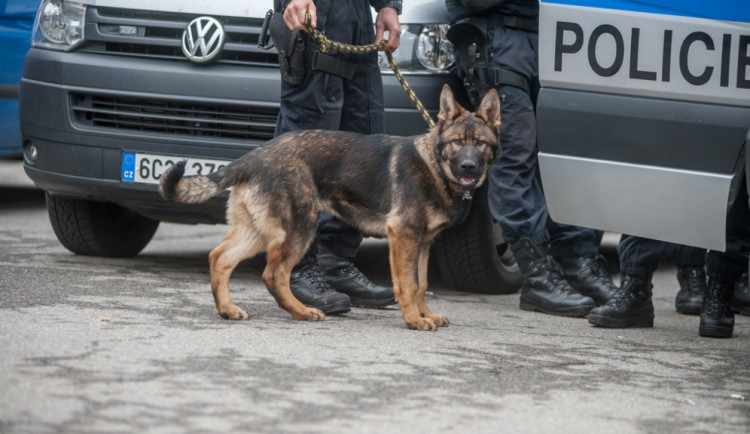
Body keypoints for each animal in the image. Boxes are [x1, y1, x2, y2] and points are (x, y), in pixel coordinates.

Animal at [160, 84, 500, 328]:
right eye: (458, 142)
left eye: (480, 143)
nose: (469, 167)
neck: (434, 166)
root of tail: (256, 155)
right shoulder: (404, 236)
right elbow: (408, 282)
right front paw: (415, 320)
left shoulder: (423, 243)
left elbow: (421, 282)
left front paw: (426, 314)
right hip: (301, 227)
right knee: (274, 274)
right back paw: (302, 311)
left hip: (259, 231)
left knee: (220, 258)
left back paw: (228, 309)